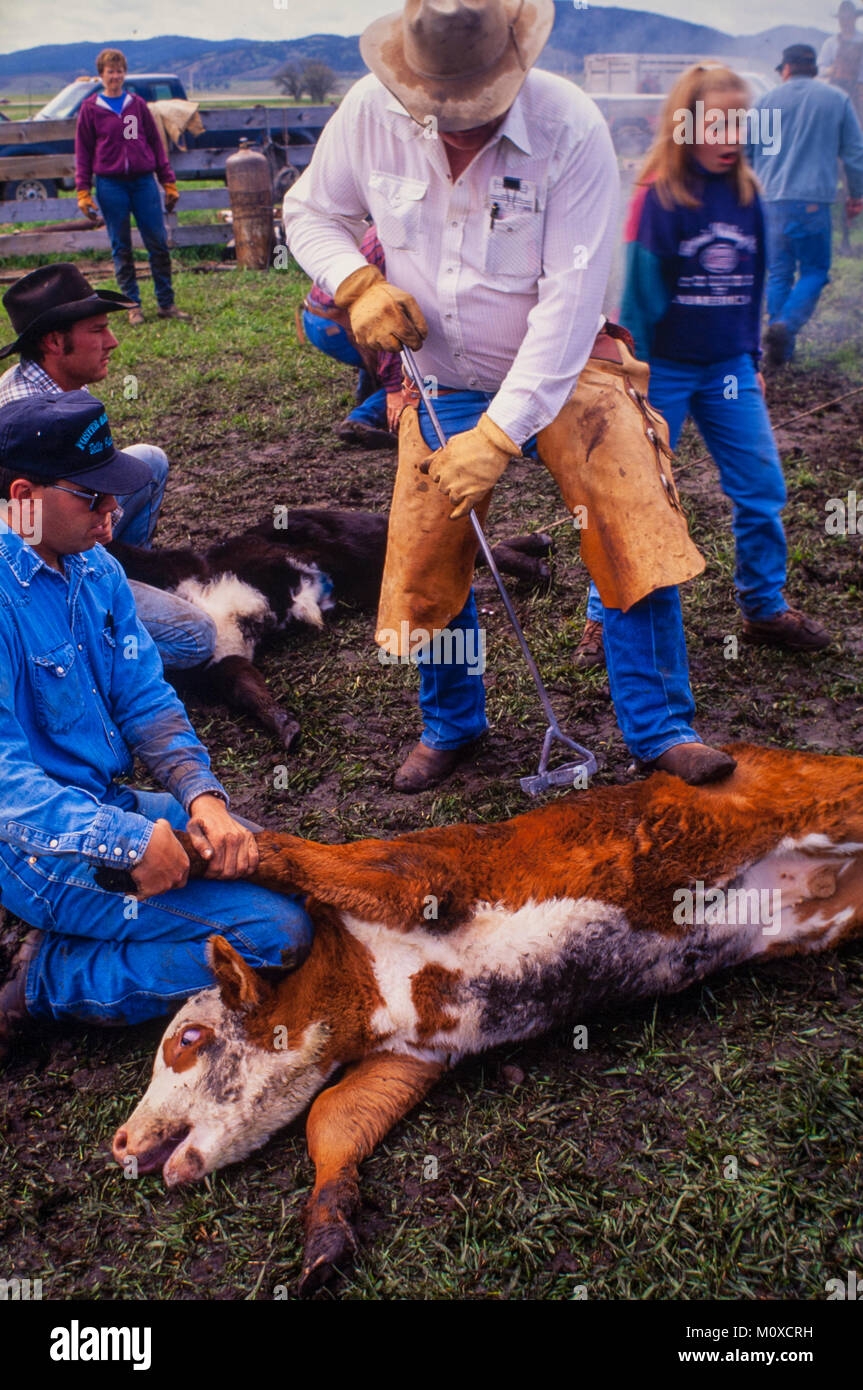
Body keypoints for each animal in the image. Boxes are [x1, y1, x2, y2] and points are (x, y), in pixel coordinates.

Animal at [112, 750, 861, 1289]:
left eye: (189, 1036)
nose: (119, 1142)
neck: (361, 978)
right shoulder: (411, 1057)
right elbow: (333, 1119)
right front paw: (325, 1228)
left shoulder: (413, 874)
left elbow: (287, 851)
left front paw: (180, 850)